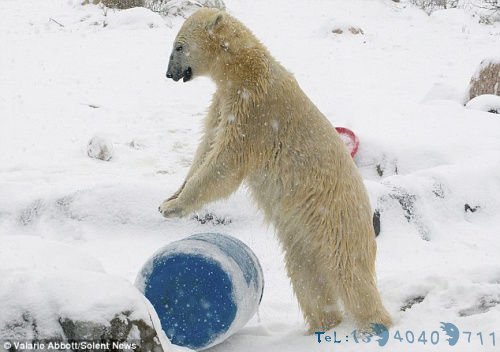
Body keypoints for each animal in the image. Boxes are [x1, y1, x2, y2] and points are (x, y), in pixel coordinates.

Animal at [158, 8, 392, 332]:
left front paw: (174, 207)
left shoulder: (254, 111)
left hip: (336, 220)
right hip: (303, 234)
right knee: (306, 273)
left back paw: (374, 324)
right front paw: (170, 197)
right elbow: (206, 147)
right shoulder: (222, 104)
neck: (245, 69)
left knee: (349, 272)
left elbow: (225, 162)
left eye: (178, 46)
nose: (169, 73)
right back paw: (322, 324)